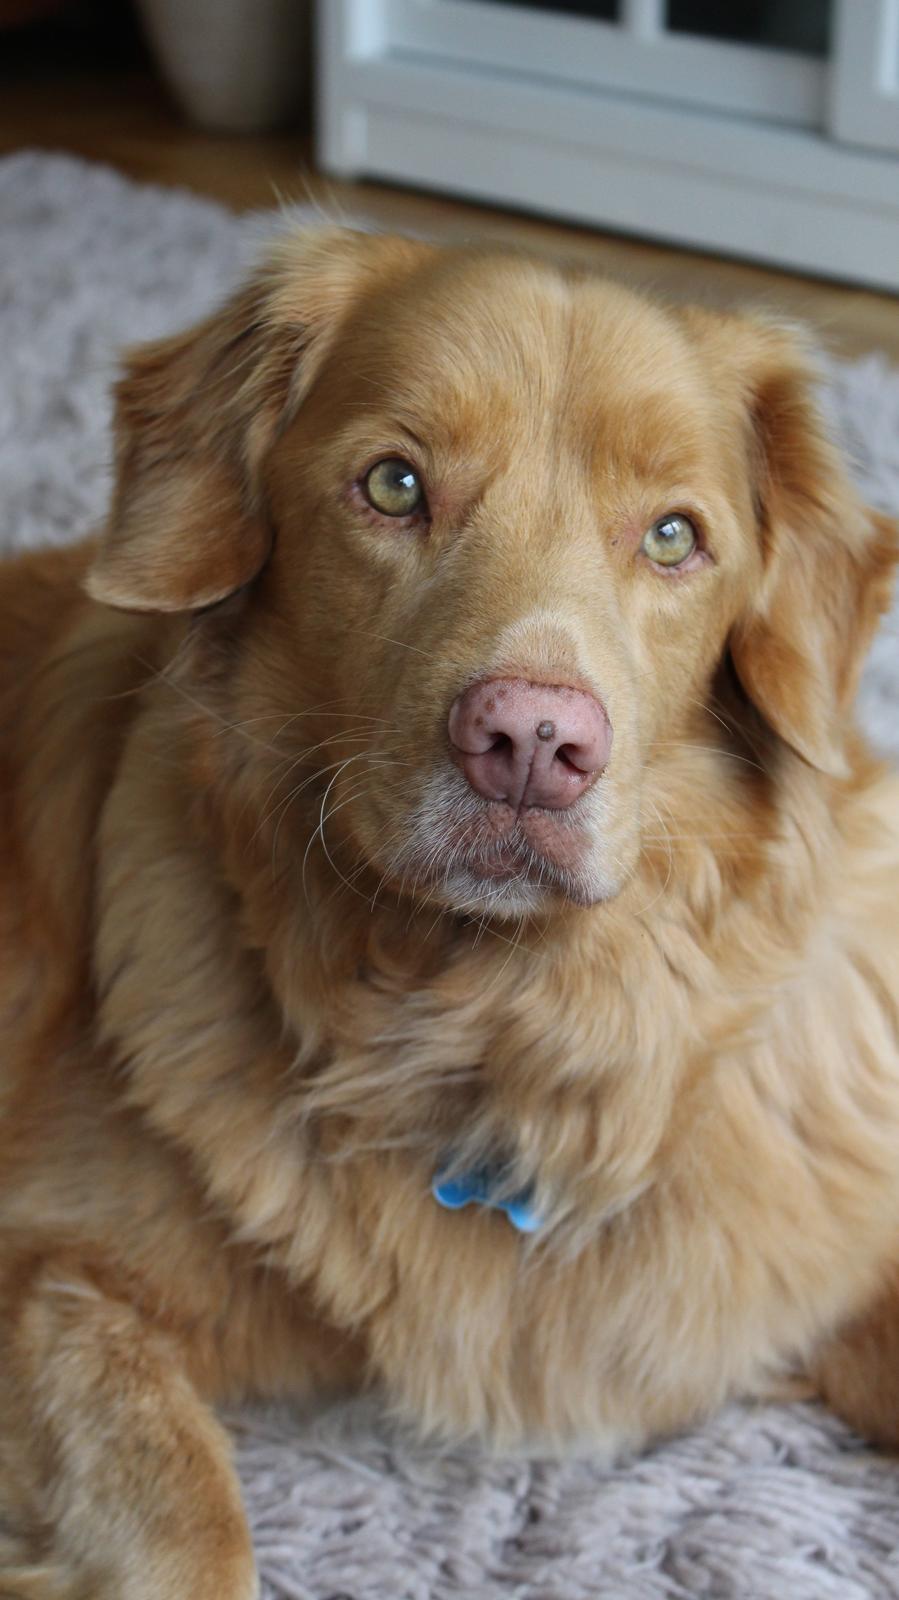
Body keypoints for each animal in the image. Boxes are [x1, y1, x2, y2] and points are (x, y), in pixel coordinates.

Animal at [1, 228, 895, 1600]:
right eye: (392, 484)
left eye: (672, 536)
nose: (530, 744)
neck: (501, 1032)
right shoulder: (48, 1261)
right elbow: (190, 1529)